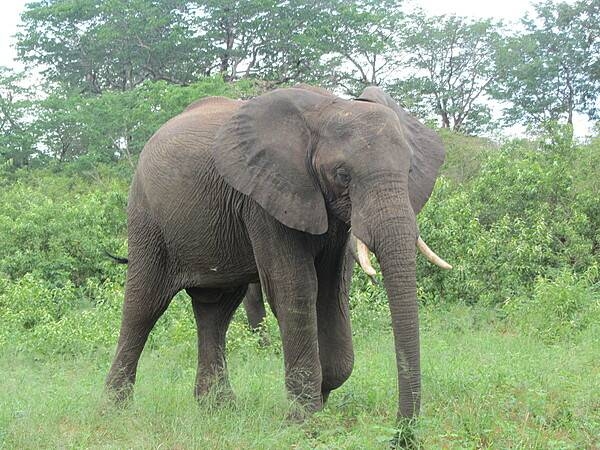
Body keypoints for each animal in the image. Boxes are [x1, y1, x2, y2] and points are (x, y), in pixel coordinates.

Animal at [104, 85, 450, 426]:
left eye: (409, 170)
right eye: (342, 175)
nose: (402, 430)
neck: (327, 107)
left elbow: (332, 290)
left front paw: (322, 392)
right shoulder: (265, 196)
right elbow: (296, 287)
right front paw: (303, 418)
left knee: (216, 309)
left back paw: (219, 408)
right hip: (148, 218)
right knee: (144, 304)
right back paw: (116, 409)